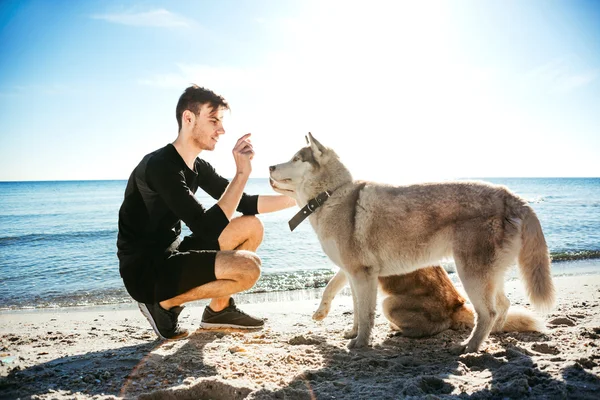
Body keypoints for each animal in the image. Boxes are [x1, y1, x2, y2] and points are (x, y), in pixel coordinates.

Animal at [312, 266, 540, 338]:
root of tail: (456, 305)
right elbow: (354, 307)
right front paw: (354, 332)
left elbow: (332, 288)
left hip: (389, 304)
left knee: (436, 327)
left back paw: (401, 331)